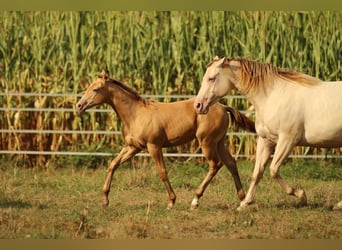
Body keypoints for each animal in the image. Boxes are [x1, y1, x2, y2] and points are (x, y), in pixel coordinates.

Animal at [76, 70, 255, 209]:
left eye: (96, 89)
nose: (79, 105)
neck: (136, 114)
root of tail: (223, 107)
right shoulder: (133, 147)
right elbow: (113, 165)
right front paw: (105, 200)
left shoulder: (154, 146)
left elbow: (162, 172)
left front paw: (171, 202)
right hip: (219, 142)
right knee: (231, 163)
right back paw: (242, 198)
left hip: (207, 142)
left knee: (215, 165)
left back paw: (195, 200)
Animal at [195, 57, 342, 211]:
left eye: (211, 78)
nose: (198, 105)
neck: (273, 96)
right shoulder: (266, 141)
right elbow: (257, 173)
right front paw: (245, 203)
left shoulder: (288, 140)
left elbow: (273, 170)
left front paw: (302, 196)